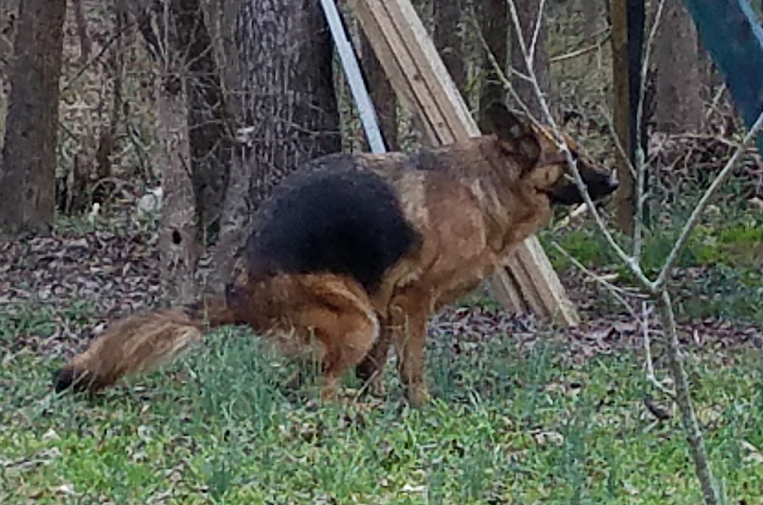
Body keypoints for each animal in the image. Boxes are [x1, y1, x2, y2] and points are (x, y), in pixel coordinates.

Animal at [52, 102, 616, 406]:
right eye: (569, 158)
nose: (612, 181)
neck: (487, 186)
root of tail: (237, 296)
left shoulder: (388, 307)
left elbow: (376, 369)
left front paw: (382, 401)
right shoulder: (411, 304)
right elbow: (413, 367)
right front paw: (419, 406)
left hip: (363, 315)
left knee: (303, 384)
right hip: (355, 317)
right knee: (316, 392)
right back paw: (346, 410)